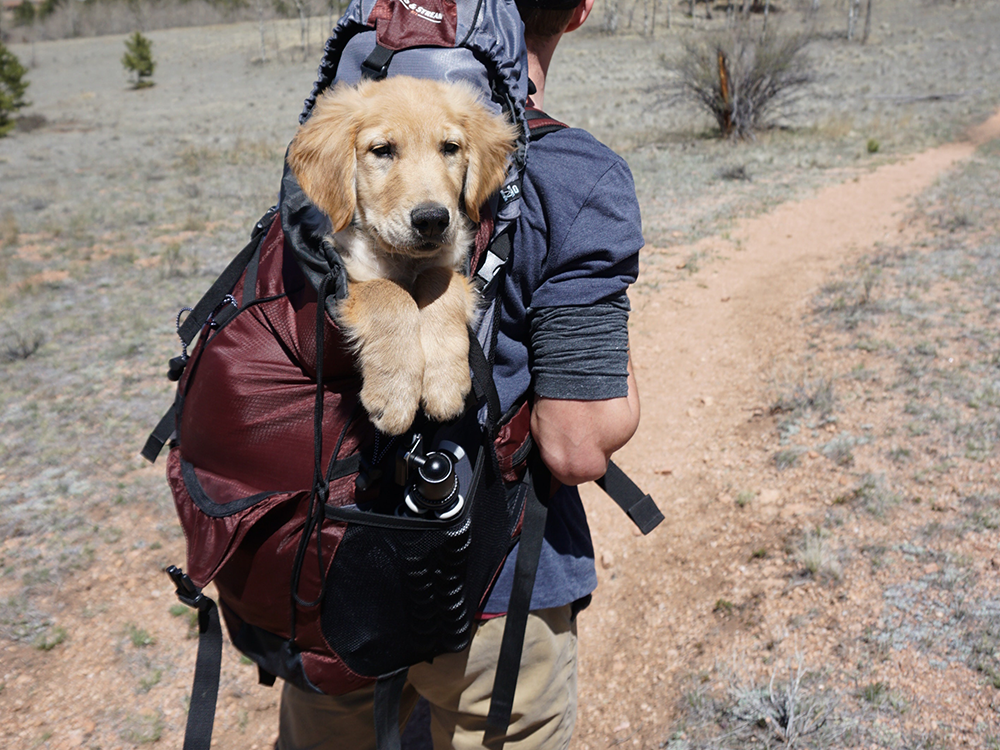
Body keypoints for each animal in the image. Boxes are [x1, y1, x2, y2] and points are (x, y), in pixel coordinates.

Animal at [284, 75, 512, 434]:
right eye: (382, 150)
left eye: (450, 148)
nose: (432, 220)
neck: (404, 260)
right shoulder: (346, 276)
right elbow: (389, 293)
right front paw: (394, 392)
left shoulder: (453, 264)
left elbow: (439, 282)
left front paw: (444, 381)